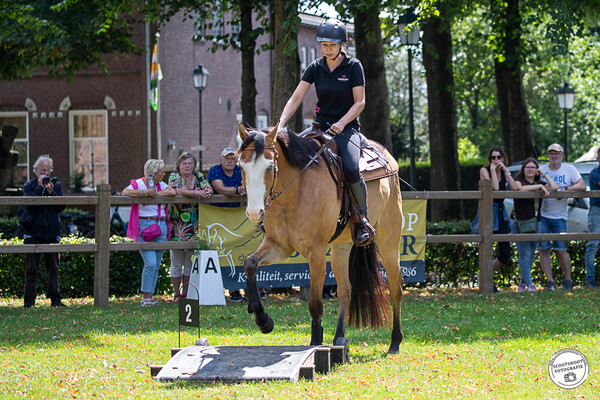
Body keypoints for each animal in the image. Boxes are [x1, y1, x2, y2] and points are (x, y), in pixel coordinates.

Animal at [237, 122, 406, 354]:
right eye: (241, 167)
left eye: (269, 167)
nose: (254, 213)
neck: (295, 190)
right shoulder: (278, 246)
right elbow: (250, 264)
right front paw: (263, 319)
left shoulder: (316, 252)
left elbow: (315, 304)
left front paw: (316, 340)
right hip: (342, 247)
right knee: (345, 290)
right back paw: (339, 338)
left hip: (389, 239)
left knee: (395, 287)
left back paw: (395, 342)